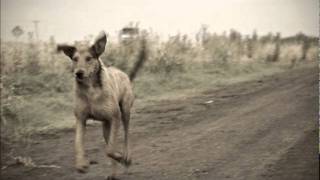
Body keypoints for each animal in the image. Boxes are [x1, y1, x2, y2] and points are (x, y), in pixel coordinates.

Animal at [57, 31, 146, 179]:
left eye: (89, 58)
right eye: (75, 59)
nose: (78, 73)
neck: (90, 90)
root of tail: (123, 73)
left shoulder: (115, 117)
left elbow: (109, 150)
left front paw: (122, 158)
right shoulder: (81, 119)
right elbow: (78, 143)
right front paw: (81, 165)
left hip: (125, 112)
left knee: (126, 135)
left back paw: (126, 156)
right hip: (106, 125)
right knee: (111, 142)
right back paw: (114, 173)